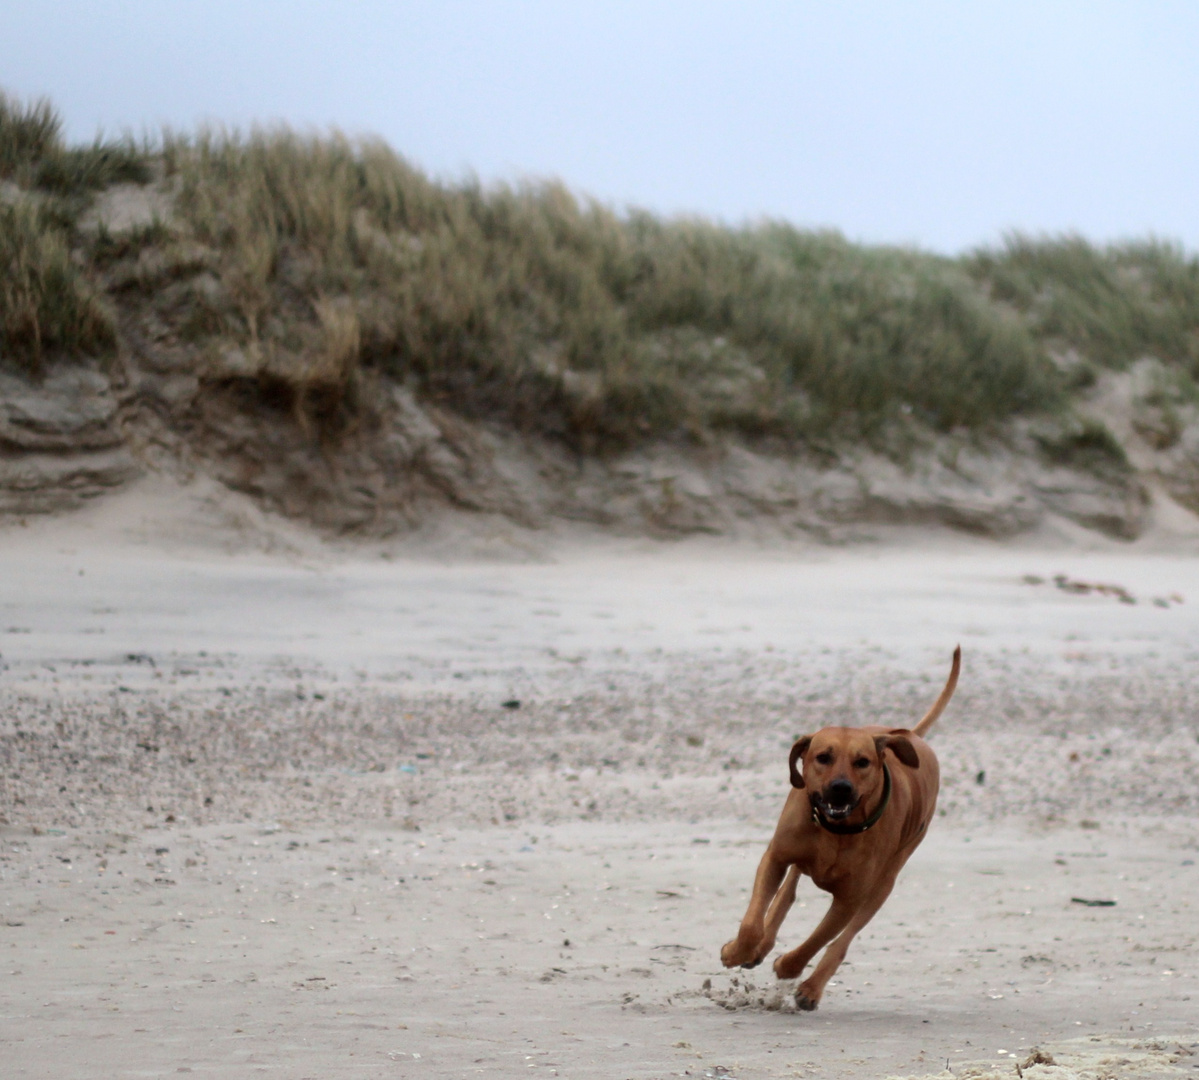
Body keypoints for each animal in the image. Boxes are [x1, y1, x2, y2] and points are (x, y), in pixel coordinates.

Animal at [714, 647, 959, 1011]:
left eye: (862, 762)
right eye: (823, 757)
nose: (841, 788)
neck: (835, 832)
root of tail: (911, 735)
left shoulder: (851, 897)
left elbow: (820, 939)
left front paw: (789, 967)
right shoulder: (776, 856)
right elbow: (752, 923)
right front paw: (737, 951)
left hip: (885, 882)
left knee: (842, 940)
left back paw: (811, 987)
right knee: (787, 893)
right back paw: (761, 948)